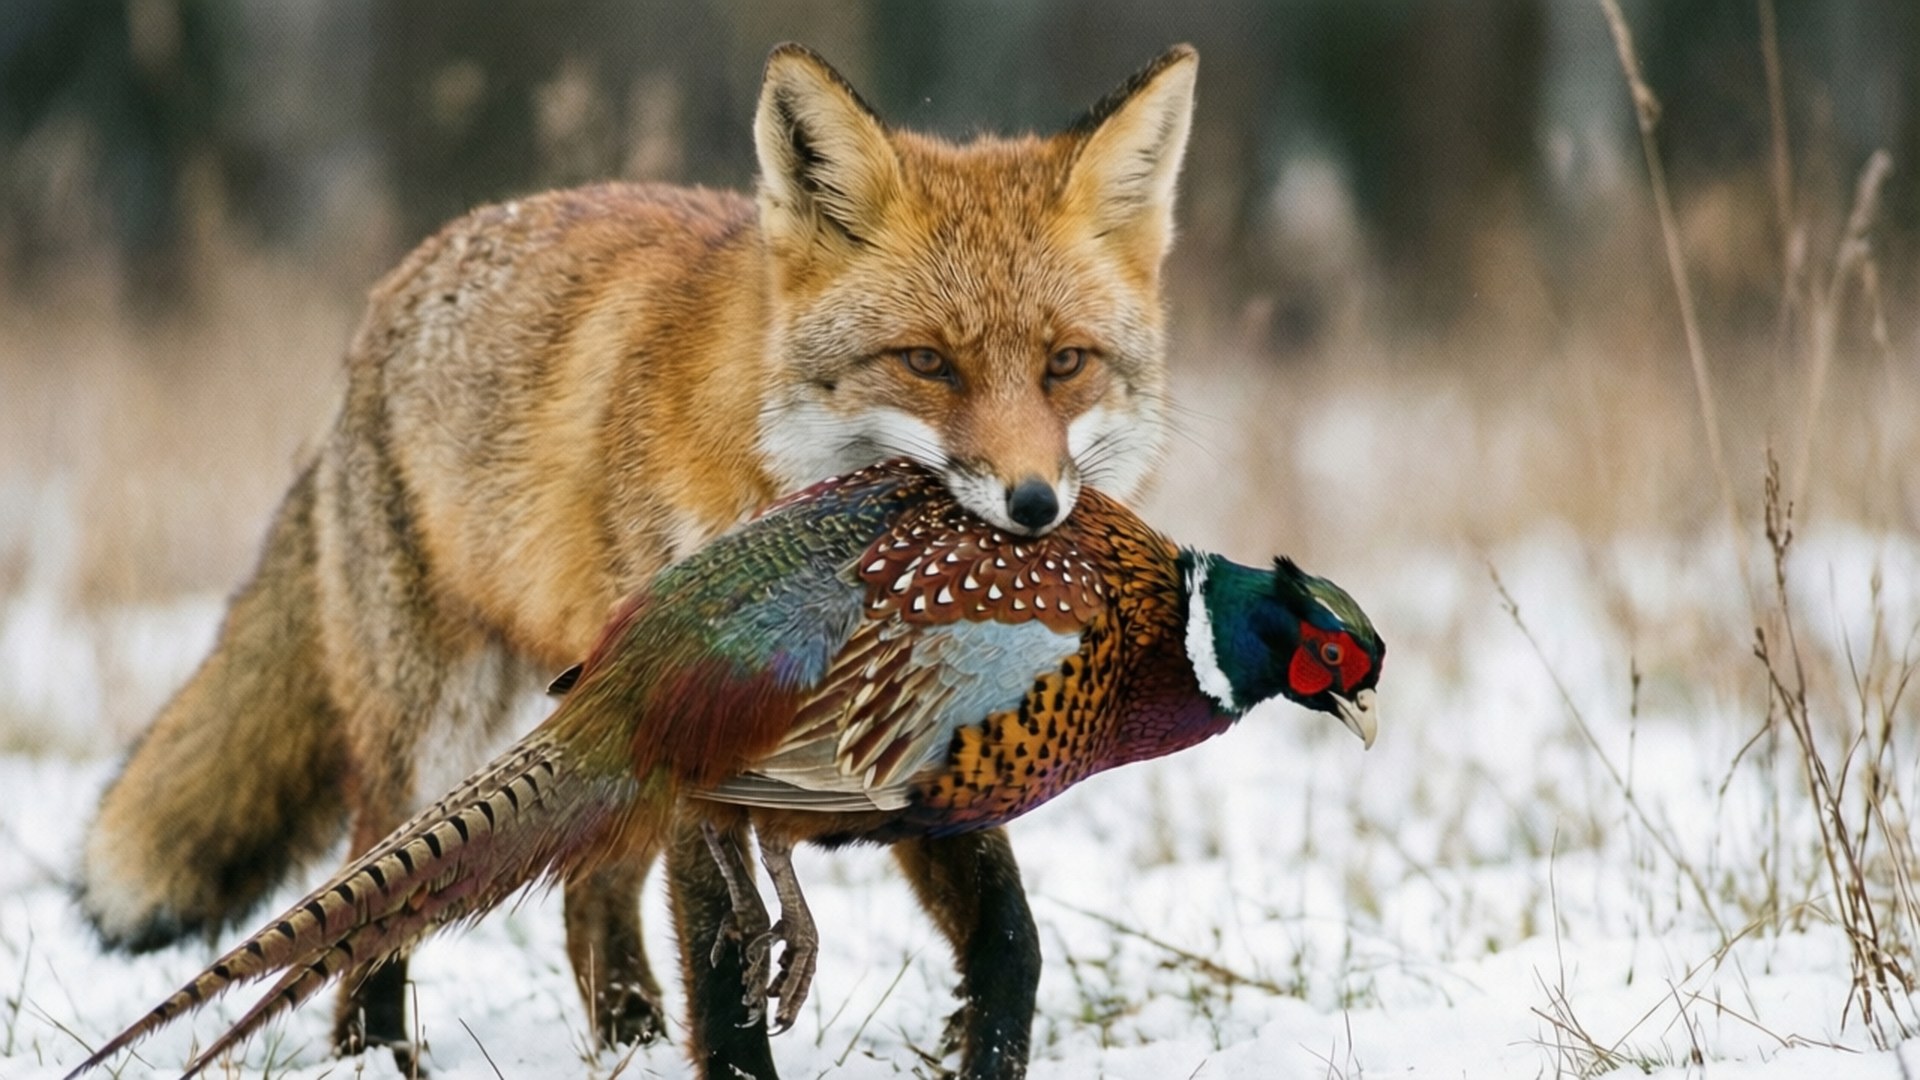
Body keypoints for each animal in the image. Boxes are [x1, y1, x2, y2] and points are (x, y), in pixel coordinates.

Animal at [77, 42, 1196, 1079]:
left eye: (1065, 364)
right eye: (928, 363)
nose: (1034, 507)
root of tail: (386, 300)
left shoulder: (917, 732)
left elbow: (1010, 935)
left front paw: (988, 1042)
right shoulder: (710, 717)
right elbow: (723, 963)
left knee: (582, 894)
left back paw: (629, 1037)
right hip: (450, 725)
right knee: (381, 893)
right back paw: (376, 1052)